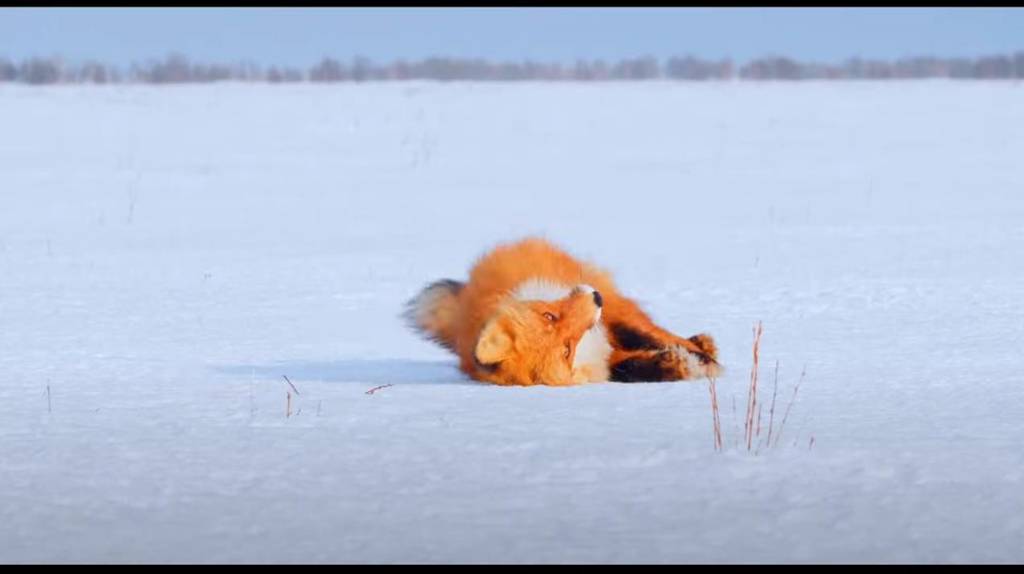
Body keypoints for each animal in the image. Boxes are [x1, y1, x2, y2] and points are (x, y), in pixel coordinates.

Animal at [403, 235, 724, 386]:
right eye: (567, 349)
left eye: (550, 315)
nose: (595, 298)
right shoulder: (606, 359)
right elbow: (628, 368)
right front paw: (673, 366)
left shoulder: (615, 314)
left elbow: (648, 333)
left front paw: (703, 358)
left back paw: (701, 343)